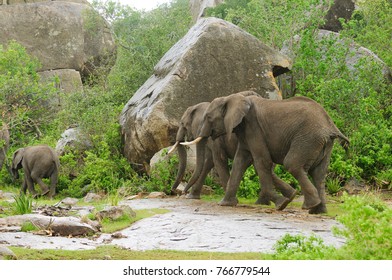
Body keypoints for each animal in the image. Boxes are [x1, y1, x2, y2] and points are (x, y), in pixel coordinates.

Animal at [183, 92, 350, 214]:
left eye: (209, 117)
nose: (183, 193)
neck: (232, 98)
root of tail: (331, 126)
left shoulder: (253, 126)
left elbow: (261, 162)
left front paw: (282, 204)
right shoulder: (244, 131)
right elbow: (240, 161)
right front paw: (226, 204)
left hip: (308, 138)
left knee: (292, 164)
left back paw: (309, 206)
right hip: (323, 144)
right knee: (319, 174)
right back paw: (318, 211)